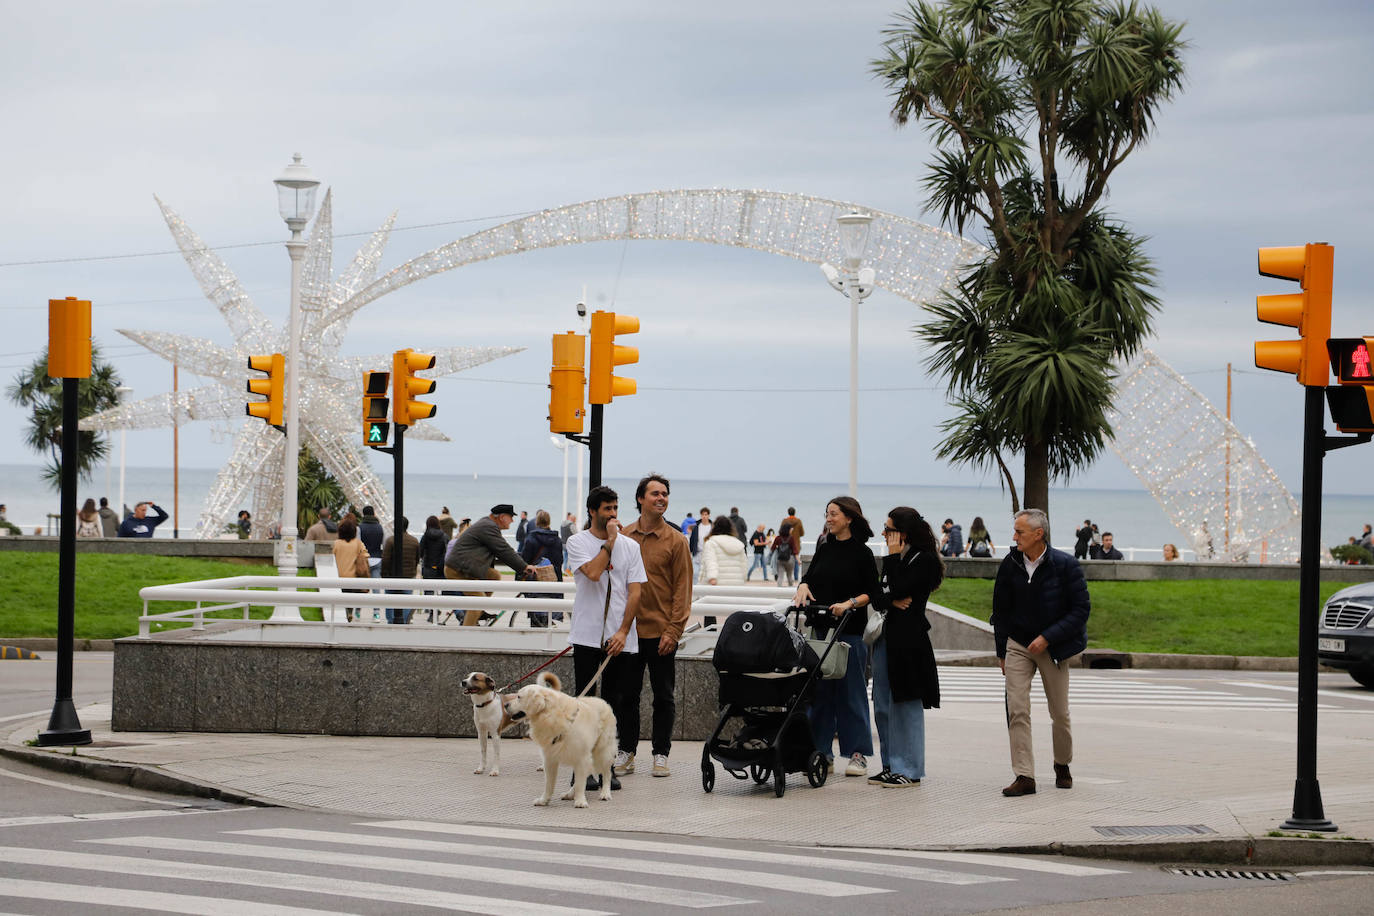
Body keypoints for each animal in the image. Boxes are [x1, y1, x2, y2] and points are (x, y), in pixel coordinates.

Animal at [500, 667, 618, 807]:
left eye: (519, 697)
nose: (505, 705)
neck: (550, 715)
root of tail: (603, 702)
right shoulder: (550, 758)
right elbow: (549, 784)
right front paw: (544, 800)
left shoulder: (582, 757)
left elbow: (581, 782)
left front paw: (580, 801)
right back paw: (570, 794)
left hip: (602, 750)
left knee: (606, 773)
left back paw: (605, 793)